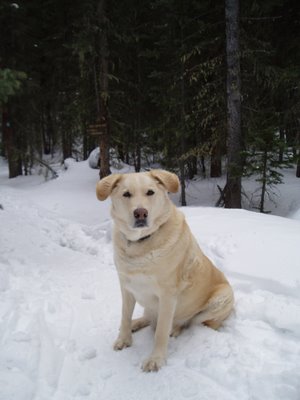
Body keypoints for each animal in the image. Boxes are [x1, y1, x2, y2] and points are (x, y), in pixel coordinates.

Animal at [96, 169, 234, 372]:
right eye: (126, 194)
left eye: (150, 192)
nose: (140, 213)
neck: (141, 244)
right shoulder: (126, 287)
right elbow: (124, 316)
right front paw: (124, 339)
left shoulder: (168, 296)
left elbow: (161, 331)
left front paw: (156, 359)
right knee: (149, 317)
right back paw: (136, 323)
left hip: (222, 297)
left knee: (189, 323)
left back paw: (175, 328)